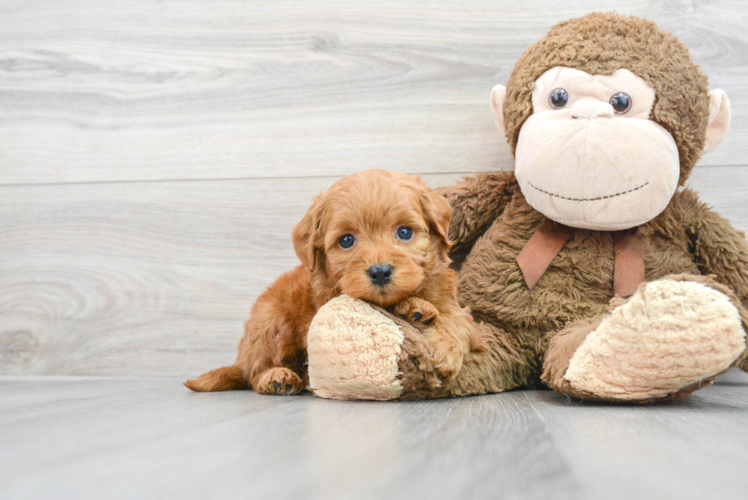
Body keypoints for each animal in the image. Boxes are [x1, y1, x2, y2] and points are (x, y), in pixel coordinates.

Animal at [184, 169, 482, 394]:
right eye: (347, 240)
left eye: (405, 232)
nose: (380, 272)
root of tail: (242, 357)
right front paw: (412, 309)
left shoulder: (452, 303)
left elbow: (459, 322)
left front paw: (444, 346)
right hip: (269, 323)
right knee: (254, 373)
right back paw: (277, 378)